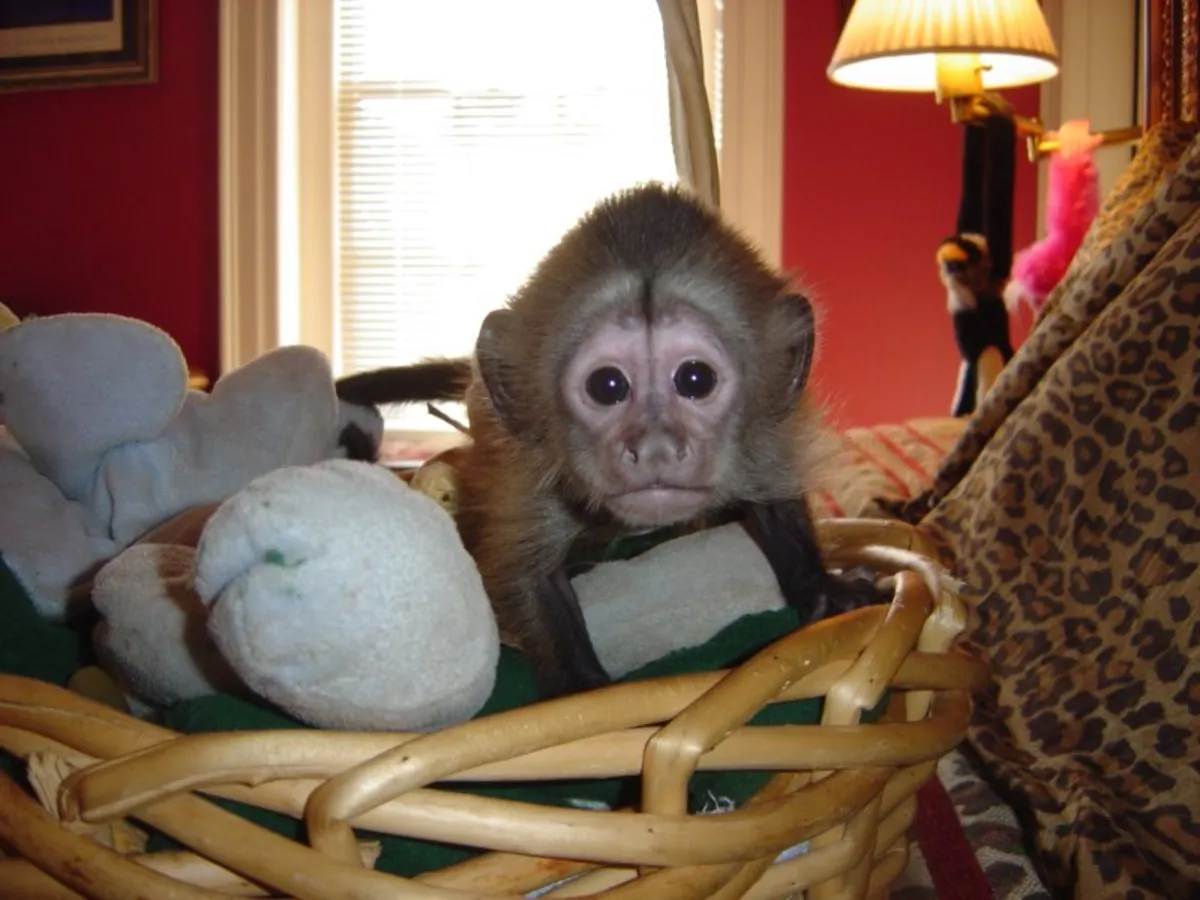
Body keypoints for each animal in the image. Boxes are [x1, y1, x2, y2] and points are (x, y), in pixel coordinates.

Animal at [336, 182, 889, 699]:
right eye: (607, 386)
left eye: (695, 379)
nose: (657, 447)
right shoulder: (527, 466)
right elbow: (527, 574)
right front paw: (582, 688)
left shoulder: (767, 430)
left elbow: (773, 503)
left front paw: (822, 586)